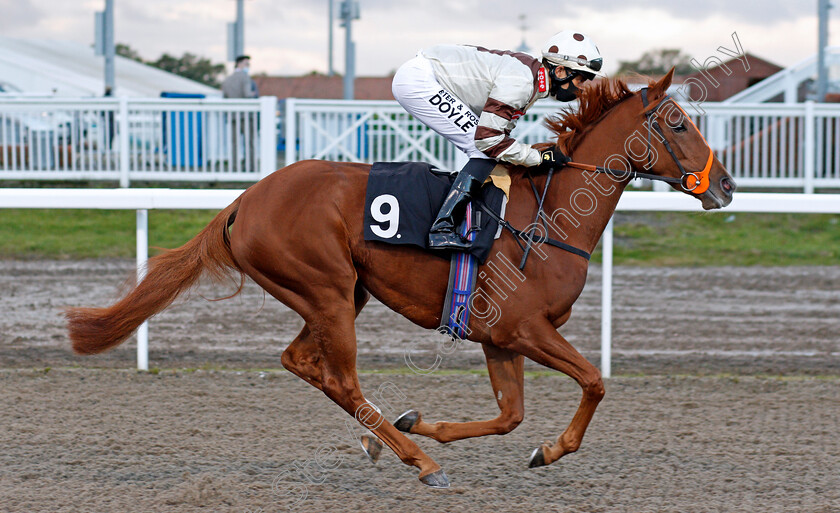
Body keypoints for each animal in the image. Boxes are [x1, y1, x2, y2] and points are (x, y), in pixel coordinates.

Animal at [65, 69, 736, 488]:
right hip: (327, 291)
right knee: (337, 375)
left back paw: (388, 437)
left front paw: (427, 424)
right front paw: (549, 451)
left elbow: (511, 416)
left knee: (300, 361)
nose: (725, 185)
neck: (545, 216)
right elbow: (594, 382)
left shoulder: (500, 337)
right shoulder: (525, 328)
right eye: (678, 122)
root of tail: (244, 201)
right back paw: (416, 459)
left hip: (340, 294)